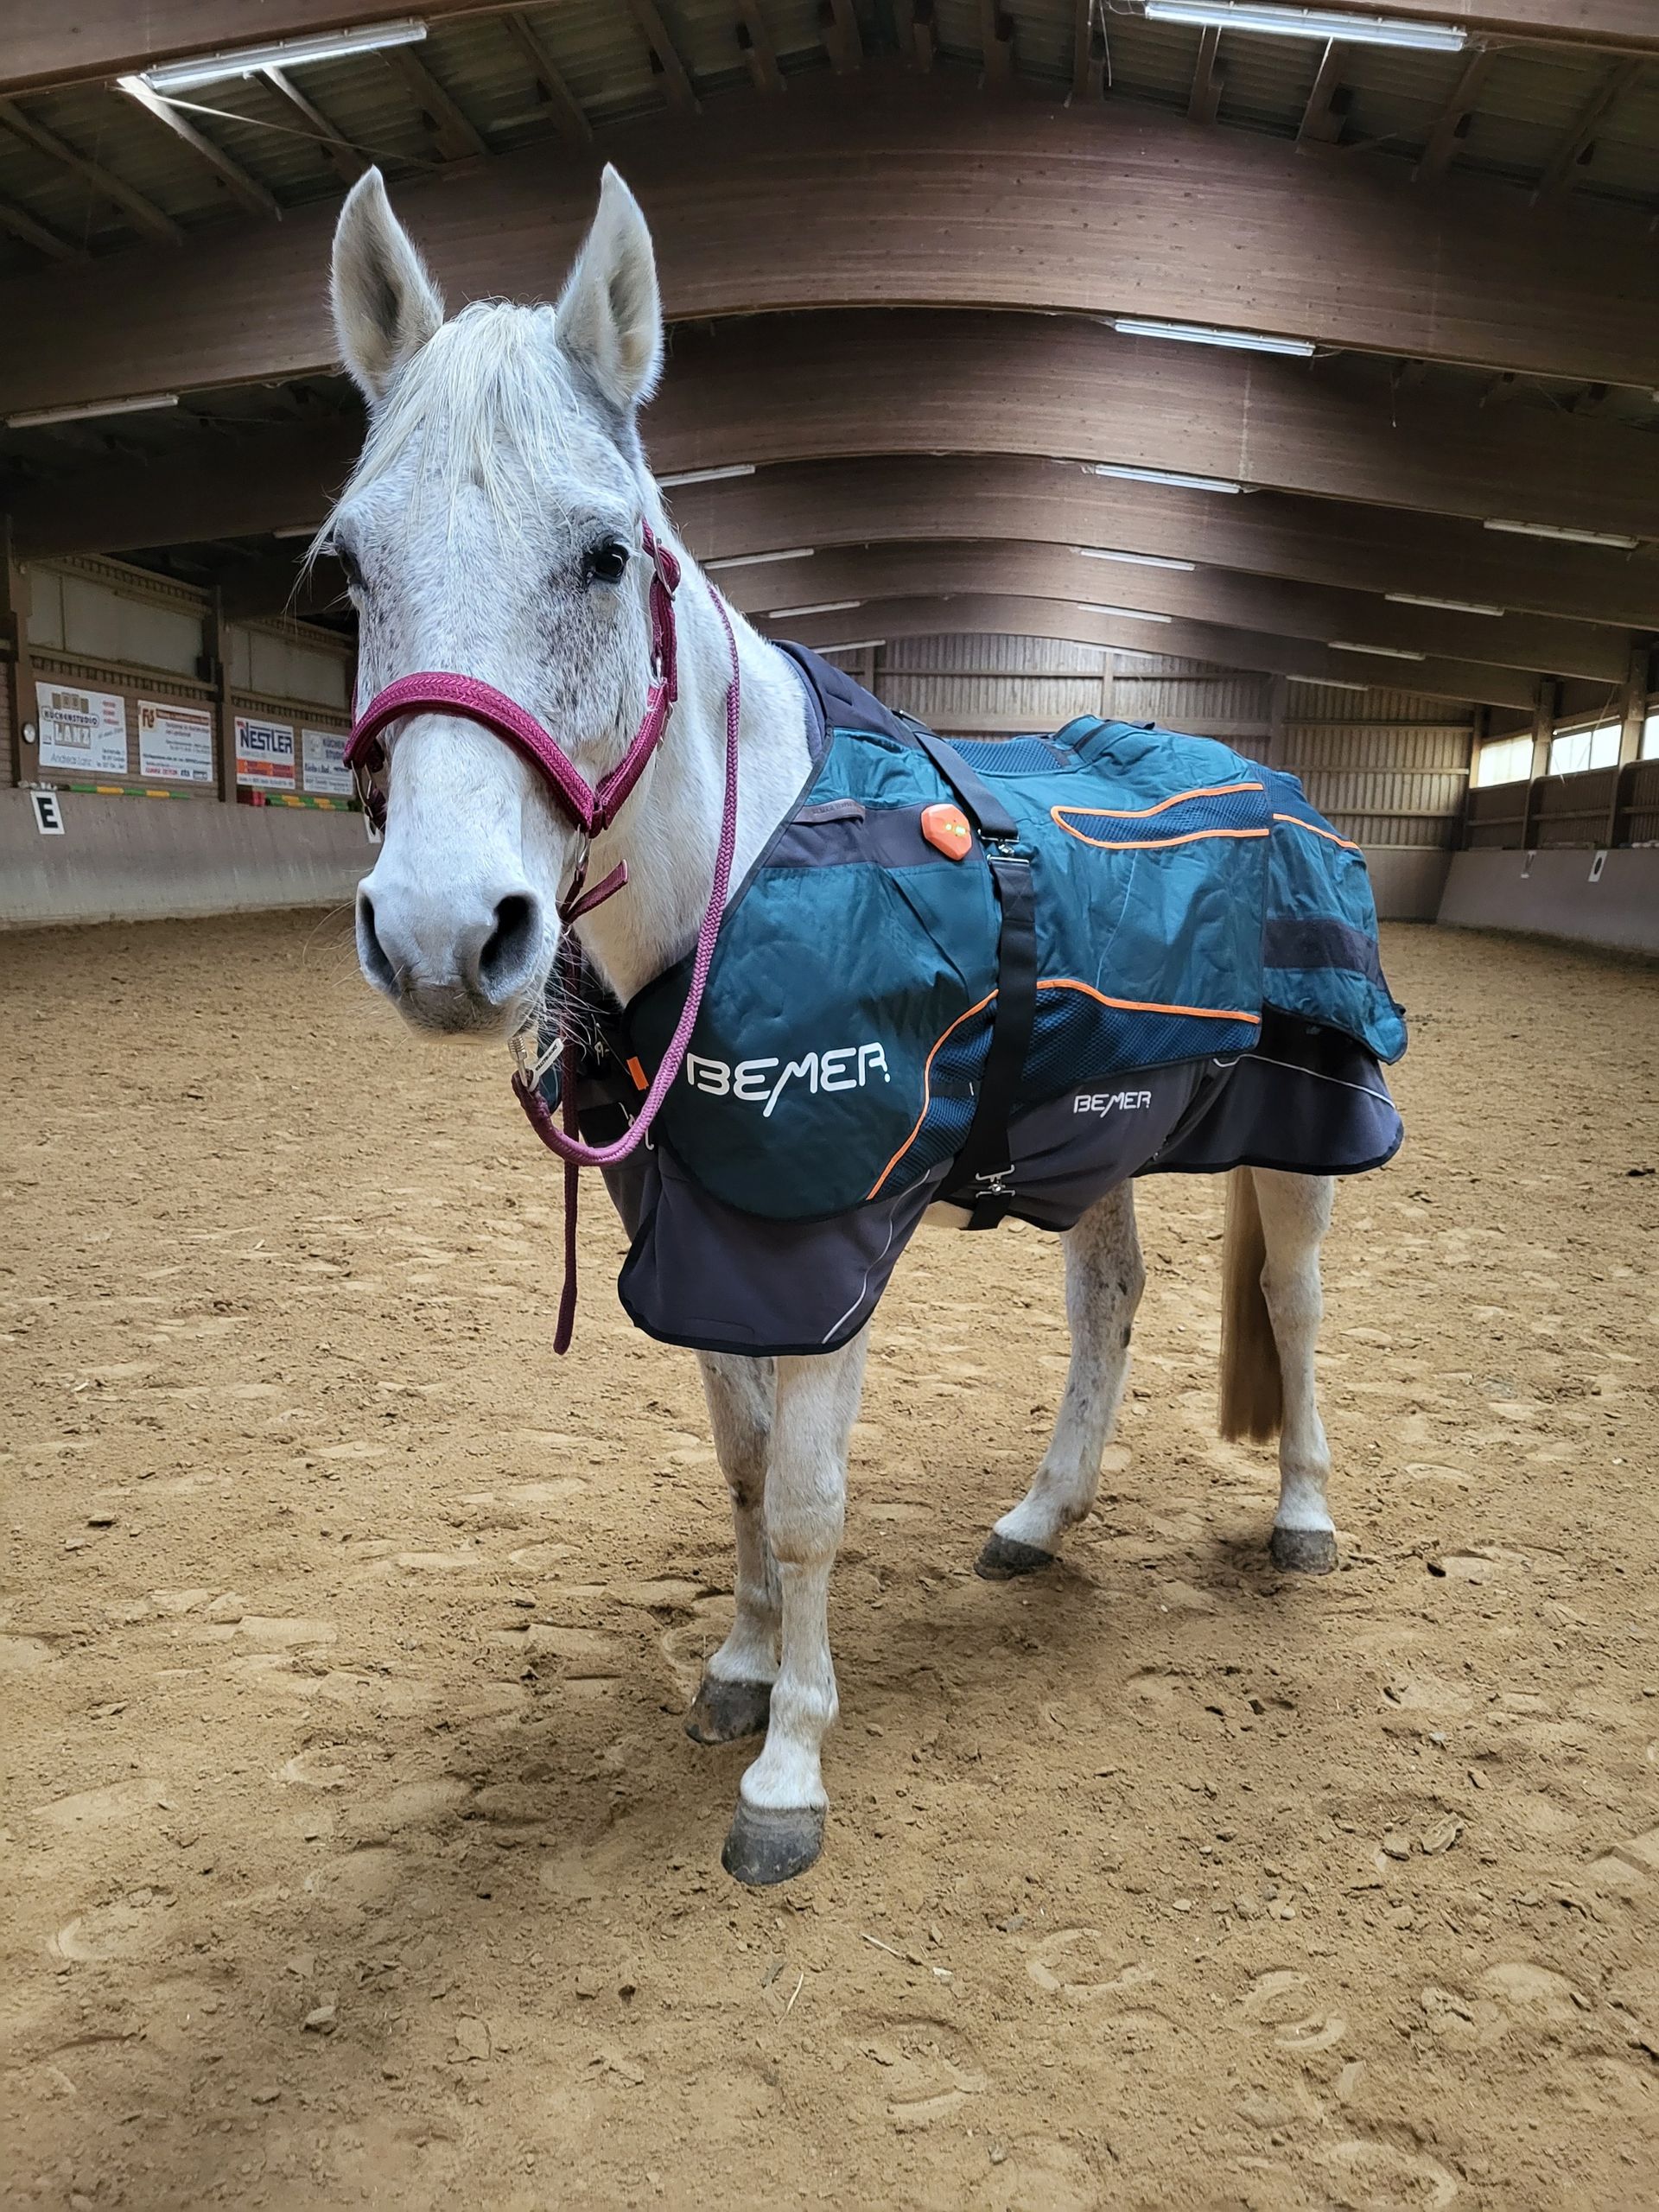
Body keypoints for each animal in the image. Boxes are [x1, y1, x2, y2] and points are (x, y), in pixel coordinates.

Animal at [327, 165, 1362, 1887]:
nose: (438, 933)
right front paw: (741, 1671)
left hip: (1303, 1130)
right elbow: (744, 1469)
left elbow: (808, 1498)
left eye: (604, 557)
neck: (741, 875)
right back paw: (1038, 1521)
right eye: (348, 565)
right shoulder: (709, 1227)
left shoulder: (828, 1236)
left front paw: (790, 1770)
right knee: (1111, 1302)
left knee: (1289, 1306)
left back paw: (1301, 1520)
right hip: (1106, 1136)